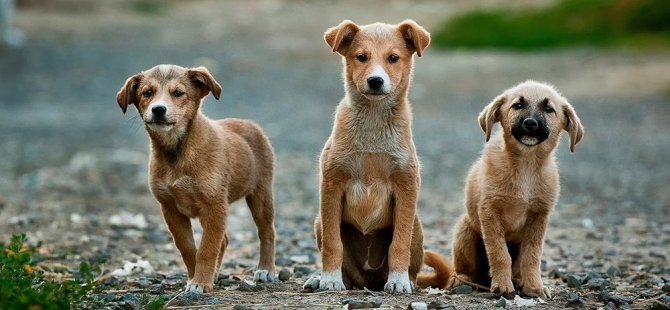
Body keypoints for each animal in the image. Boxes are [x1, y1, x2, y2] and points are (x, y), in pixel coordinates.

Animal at [117, 65, 276, 294]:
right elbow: (188, 248)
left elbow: (207, 248)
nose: (158, 110)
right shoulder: (171, 209)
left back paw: (266, 269)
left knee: (266, 232)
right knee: (224, 240)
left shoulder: (214, 205)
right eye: (147, 93)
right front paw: (196, 278)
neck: (177, 152)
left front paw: (200, 282)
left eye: (178, 93)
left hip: (261, 195)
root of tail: (250, 124)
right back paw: (216, 274)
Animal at [304, 20, 452, 294]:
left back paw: (406, 280)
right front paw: (329, 279)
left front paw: (399, 280)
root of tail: (369, 280)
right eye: (361, 57)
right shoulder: (331, 184)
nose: (375, 81)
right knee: (345, 267)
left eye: (393, 58)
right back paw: (322, 278)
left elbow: (399, 244)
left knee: (411, 262)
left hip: (417, 225)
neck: (373, 123)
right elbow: (332, 243)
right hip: (319, 221)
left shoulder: (406, 186)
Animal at [452, 80, 588, 298]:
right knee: (463, 269)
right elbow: (499, 253)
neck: (526, 164)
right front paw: (502, 285)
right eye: (517, 105)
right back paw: (463, 280)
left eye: (549, 109)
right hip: (465, 229)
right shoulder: (489, 211)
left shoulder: (539, 216)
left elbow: (532, 256)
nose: (530, 123)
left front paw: (534, 286)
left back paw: (518, 281)